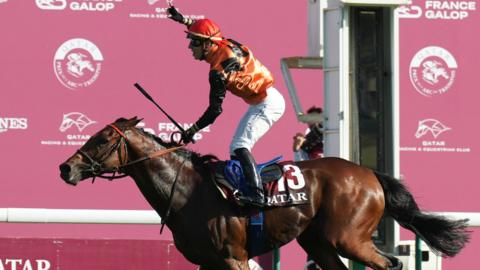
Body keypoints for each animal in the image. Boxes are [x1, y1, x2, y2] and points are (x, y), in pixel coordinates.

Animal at [59, 117, 468, 268]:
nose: (67, 167)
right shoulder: (208, 263)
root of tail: (369, 173)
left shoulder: (233, 257)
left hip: (348, 238)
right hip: (318, 242)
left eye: (103, 139)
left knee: (391, 264)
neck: (187, 192)